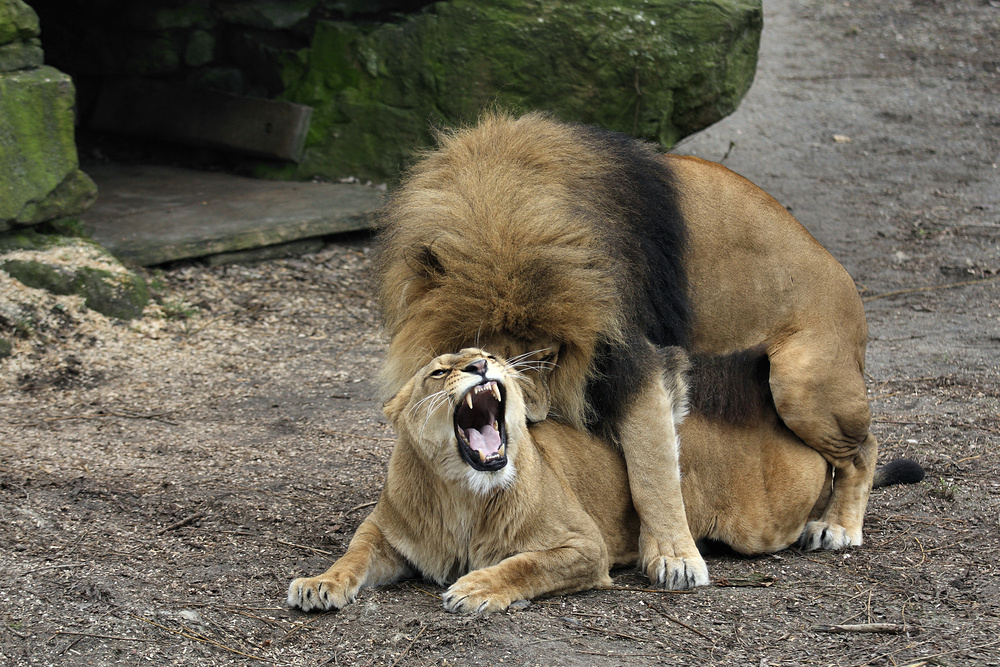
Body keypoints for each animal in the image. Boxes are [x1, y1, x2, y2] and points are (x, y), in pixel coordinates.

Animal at [286, 350, 916, 616]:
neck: (461, 491)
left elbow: (524, 564)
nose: (480, 367)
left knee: (855, 451)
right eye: (438, 372)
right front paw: (319, 584)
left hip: (760, 520)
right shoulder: (386, 534)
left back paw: (833, 526)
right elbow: (352, 555)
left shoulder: (584, 546)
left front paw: (477, 588)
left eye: (486, 354)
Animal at [372, 111, 880, 588]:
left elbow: (653, 471)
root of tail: (849, 284)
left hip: (798, 381)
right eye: (494, 355)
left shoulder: (634, 360)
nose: (534, 416)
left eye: (548, 357)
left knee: (863, 449)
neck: (497, 202)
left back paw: (837, 527)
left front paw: (676, 559)